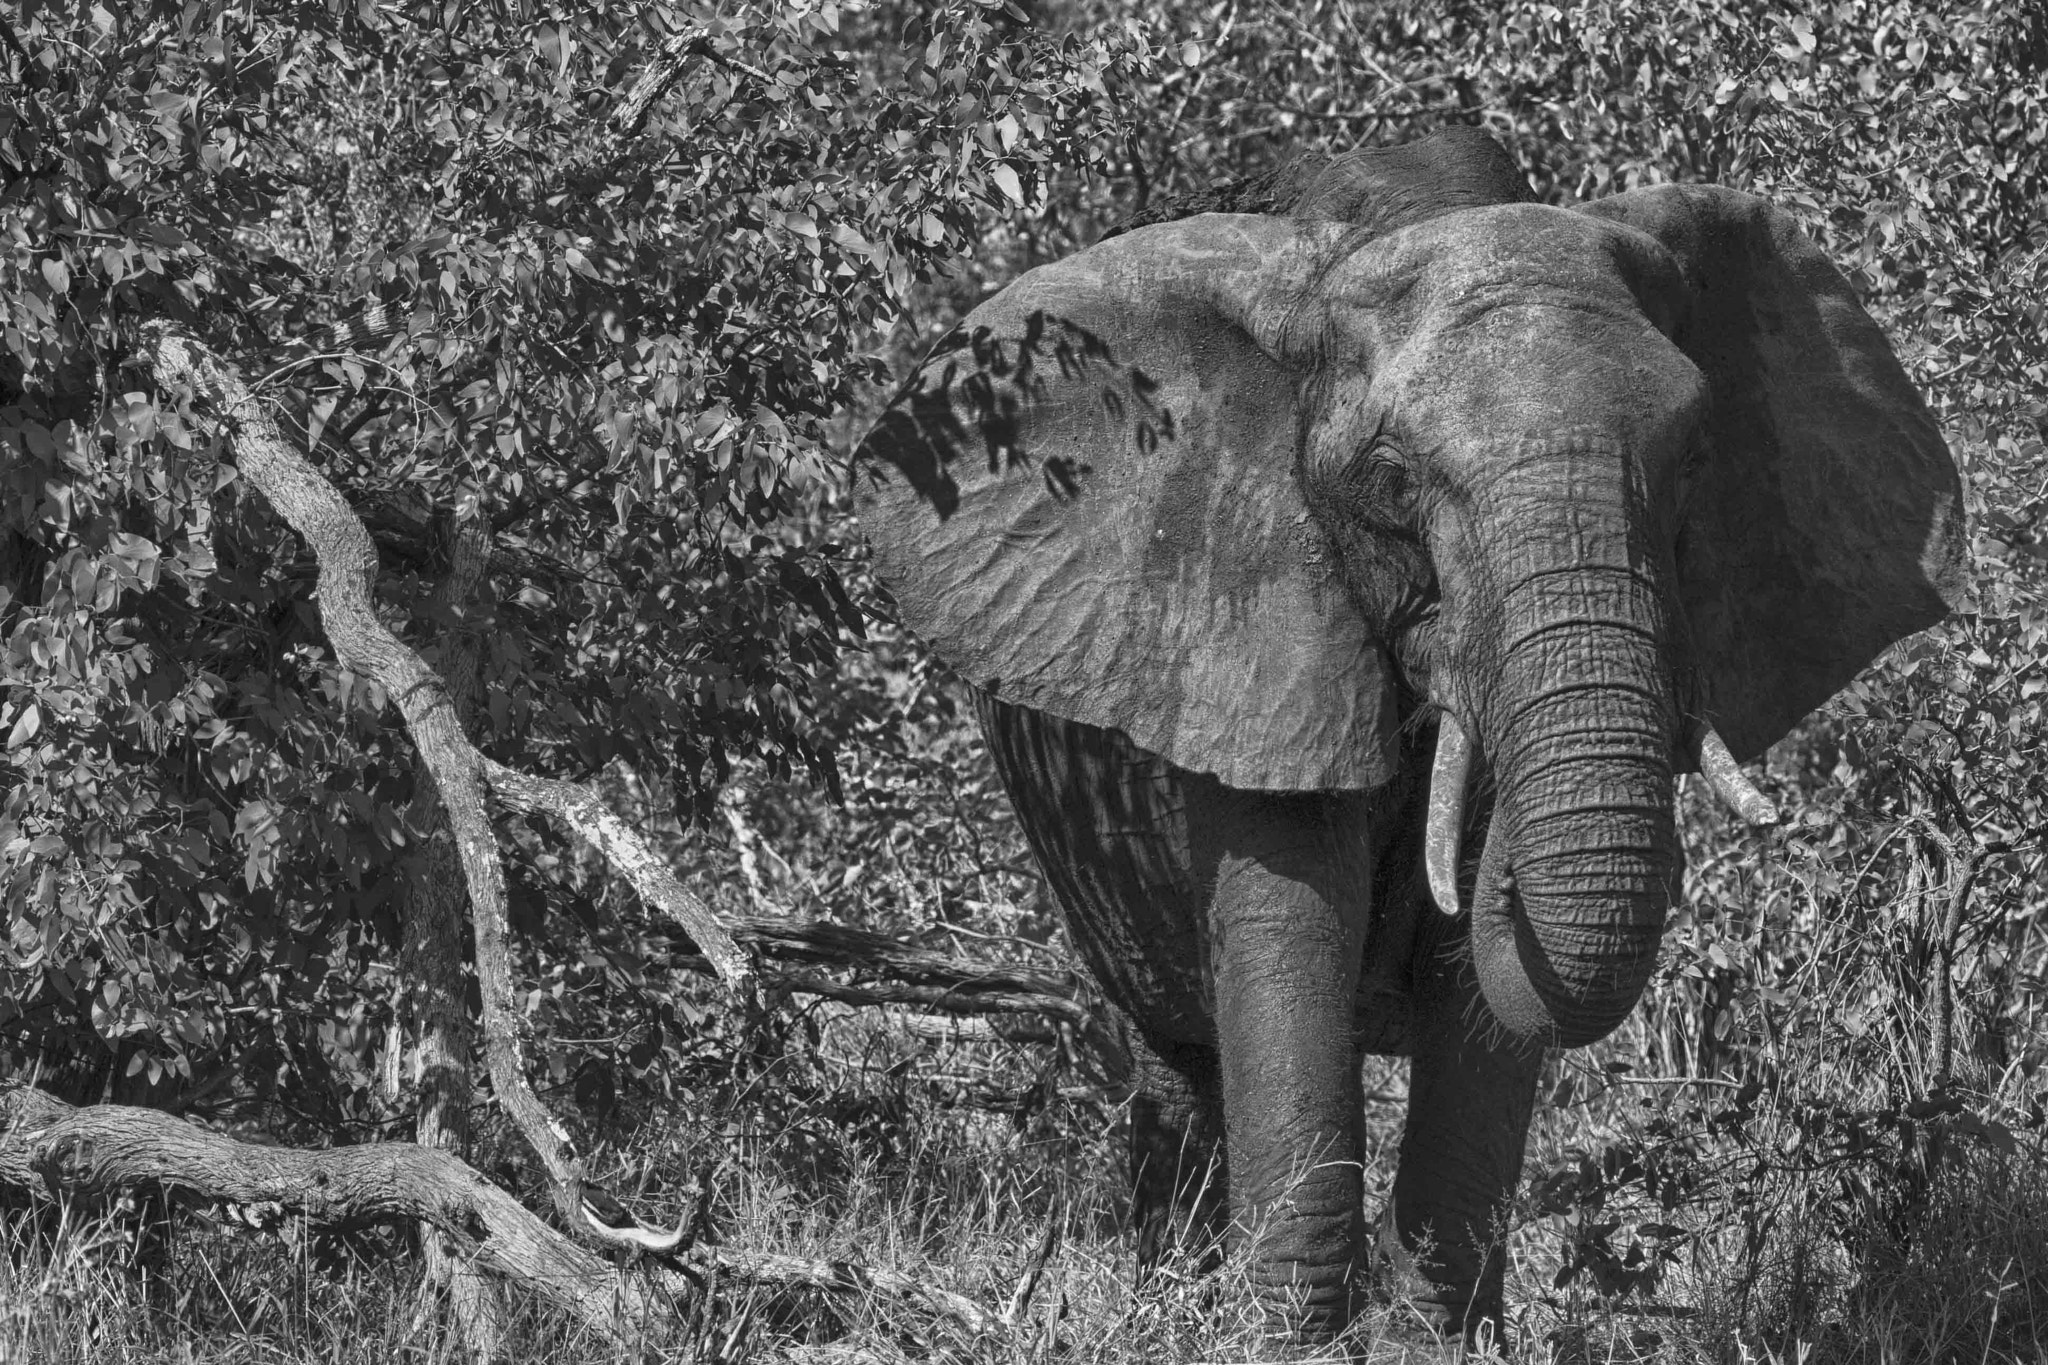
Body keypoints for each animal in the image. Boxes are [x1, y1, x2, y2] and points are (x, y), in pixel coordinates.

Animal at [853, 127, 1966, 1344]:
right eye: (1390, 480)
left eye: (1689, 463)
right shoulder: (1248, 625)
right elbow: (1294, 927)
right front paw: (1283, 1341)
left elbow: (1474, 1000)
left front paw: (1429, 1340)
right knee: (1173, 1050)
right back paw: (1163, 1283)